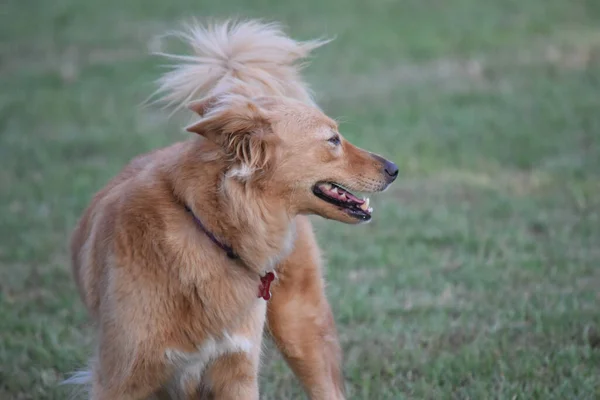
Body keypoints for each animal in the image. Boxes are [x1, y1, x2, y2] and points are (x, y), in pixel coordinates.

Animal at [67, 19, 398, 400]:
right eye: (333, 140)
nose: (394, 168)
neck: (209, 229)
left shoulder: (237, 371)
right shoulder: (120, 378)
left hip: (302, 331)